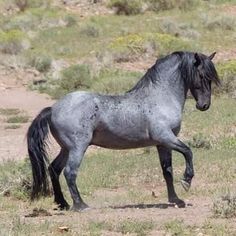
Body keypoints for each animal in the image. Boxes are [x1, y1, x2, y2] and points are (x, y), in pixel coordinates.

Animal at [27, 51, 219, 210]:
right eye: (202, 75)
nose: (204, 105)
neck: (160, 97)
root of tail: (53, 109)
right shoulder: (166, 137)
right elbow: (188, 151)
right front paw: (186, 181)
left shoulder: (163, 144)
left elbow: (167, 171)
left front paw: (176, 200)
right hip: (77, 148)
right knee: (69, 172)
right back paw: (81, 205)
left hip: (66, 149)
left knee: (54, 169)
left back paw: (63, 204)